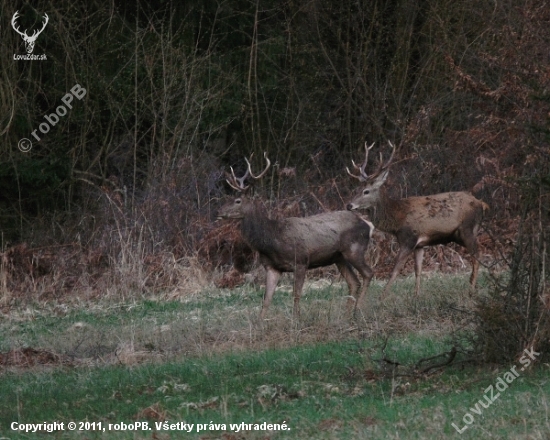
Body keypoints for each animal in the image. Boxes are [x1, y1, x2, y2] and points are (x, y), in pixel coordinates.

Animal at [219, 153, 376, 318]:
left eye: (237, 201)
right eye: (229, 198)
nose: (219, 211)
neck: (272, 240)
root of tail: (368, 225)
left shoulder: (301, 261)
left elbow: (296, 294)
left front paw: (296, 320)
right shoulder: (272, 267)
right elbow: (266, 300)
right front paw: (260, 323)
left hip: (354, 249)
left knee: (368, 273)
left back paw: (358, 310)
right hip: (339, 257)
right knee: (354, 282)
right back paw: (346, 315)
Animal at [348, 142, 490, 300]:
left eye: (366, 191)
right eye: (356, 189)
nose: (349, 205)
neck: (397, 219)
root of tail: (481, 204)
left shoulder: (409, 239)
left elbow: (395, 270)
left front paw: (382, 298)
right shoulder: (419, 245)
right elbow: (418, 269)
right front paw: (416, 296)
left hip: (467, 229)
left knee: (477, 255)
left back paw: (470, 290)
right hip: (463, 234)